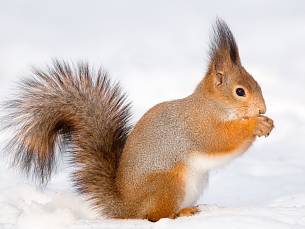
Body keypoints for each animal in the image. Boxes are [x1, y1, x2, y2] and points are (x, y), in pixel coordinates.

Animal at [1, 18, 274, 221]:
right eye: (240, 91)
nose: (262, 108)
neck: (213, 105)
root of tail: (127, 208)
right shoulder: (199, 126)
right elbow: (221, 139)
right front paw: (257, 125)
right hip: (169, 183)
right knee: (156, 216)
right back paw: (182, 213)